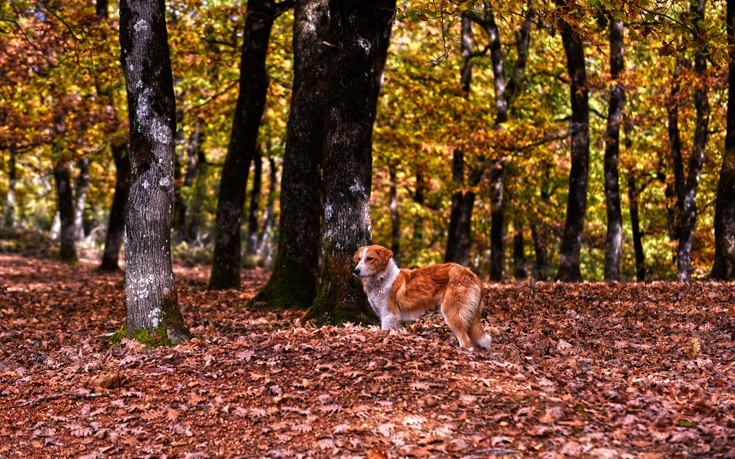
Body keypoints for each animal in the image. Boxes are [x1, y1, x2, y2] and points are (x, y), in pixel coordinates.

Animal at [354, 246, 492, 350]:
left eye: (370, 259)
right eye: (359, 259)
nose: (356, 271)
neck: (382, 278)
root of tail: (472, 274)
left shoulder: (389, 315)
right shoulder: (395, 319)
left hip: (451, 314)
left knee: (466, 342)